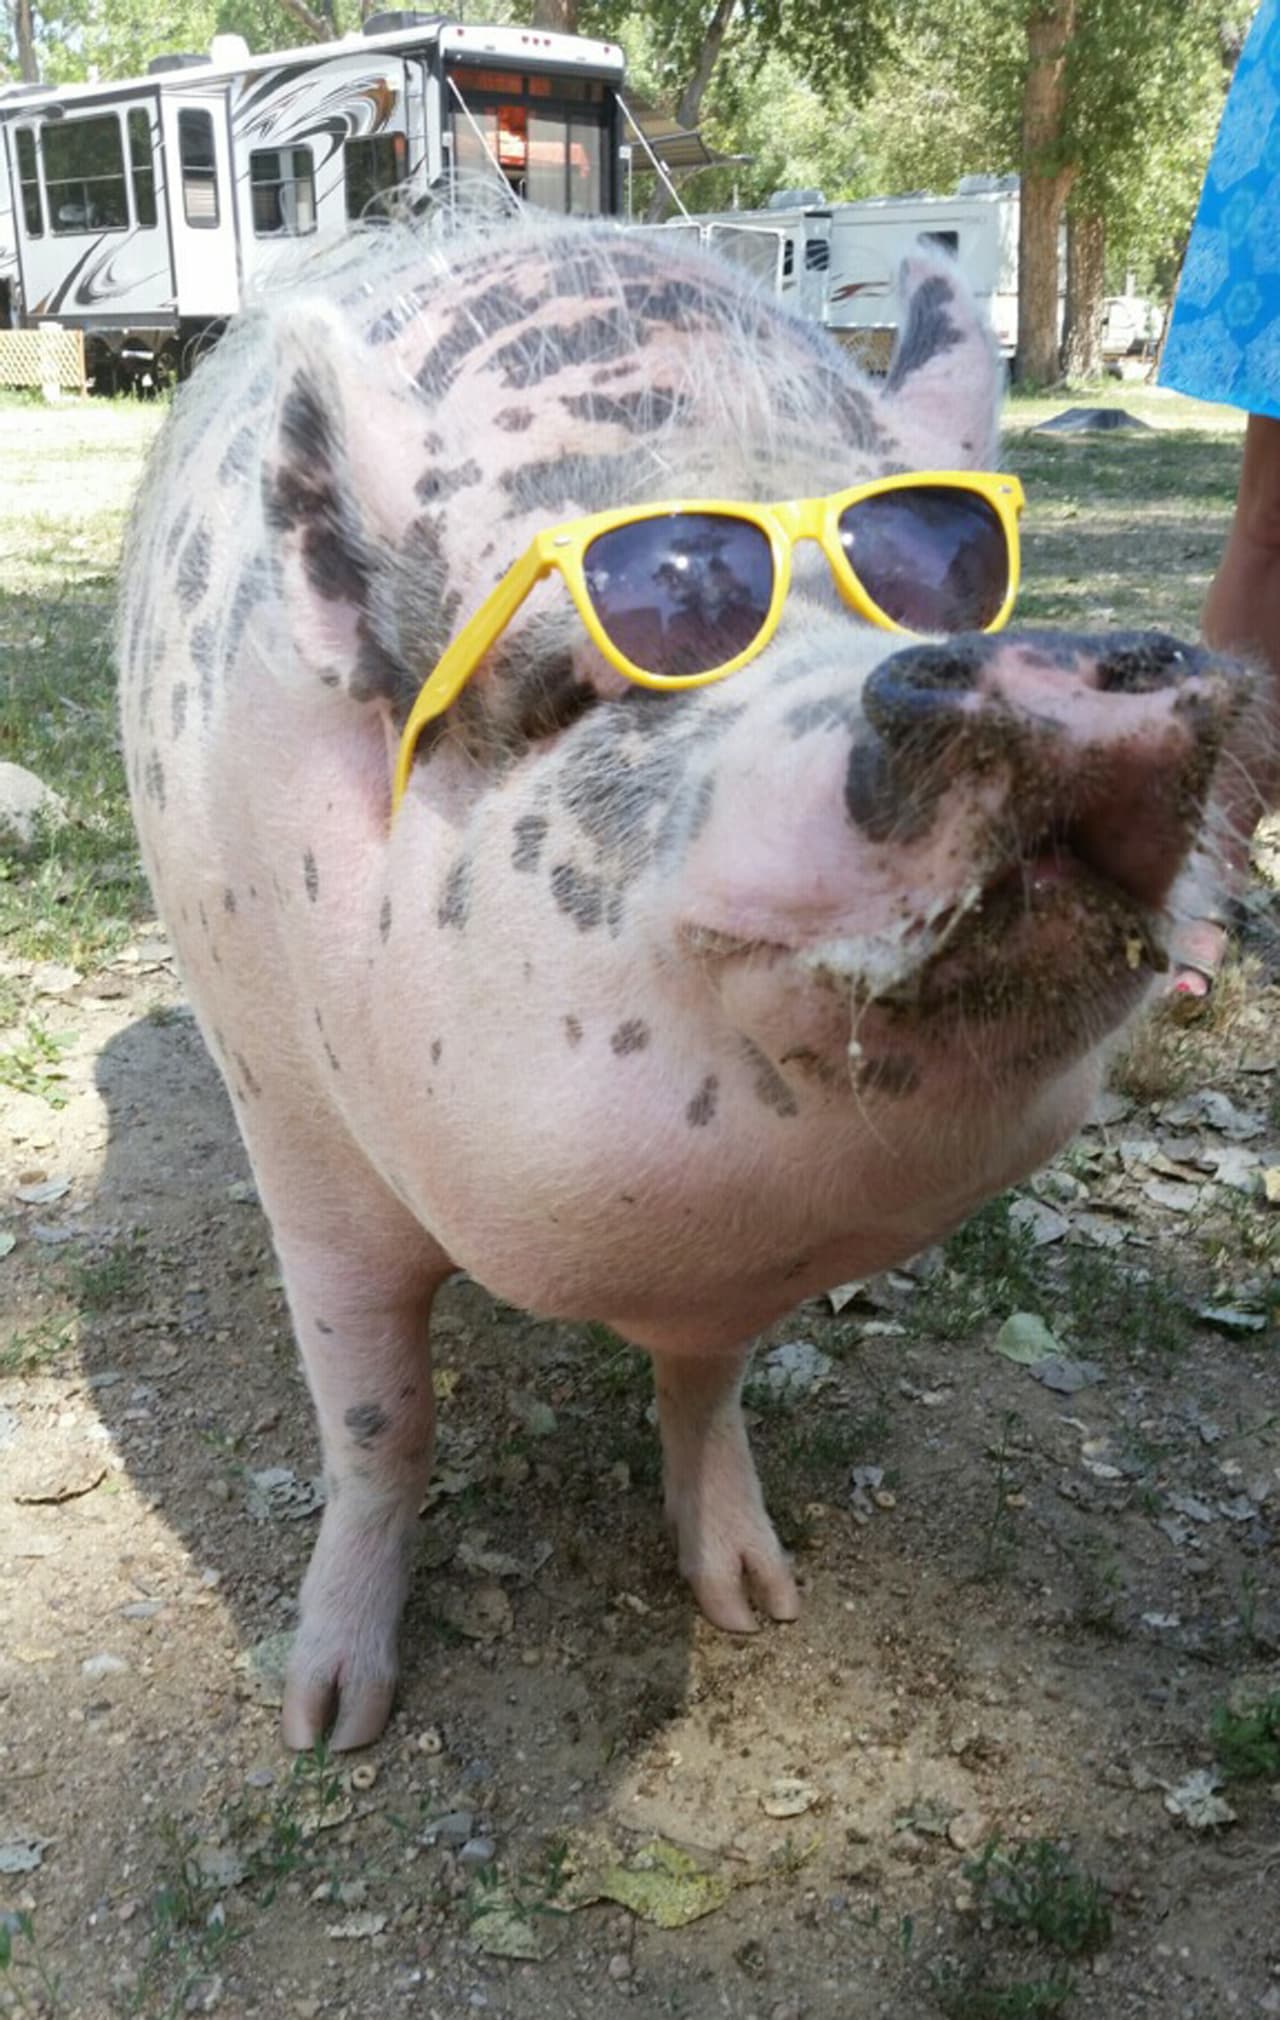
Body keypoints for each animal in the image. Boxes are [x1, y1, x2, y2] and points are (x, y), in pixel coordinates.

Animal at [117, 212, 1249, 1752]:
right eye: (589, 677)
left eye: (947, 582)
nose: (1081, 657)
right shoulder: (299, 1135)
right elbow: (375, 1420)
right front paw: (331, 1722)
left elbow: (706, 1390)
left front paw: (758, 1606)